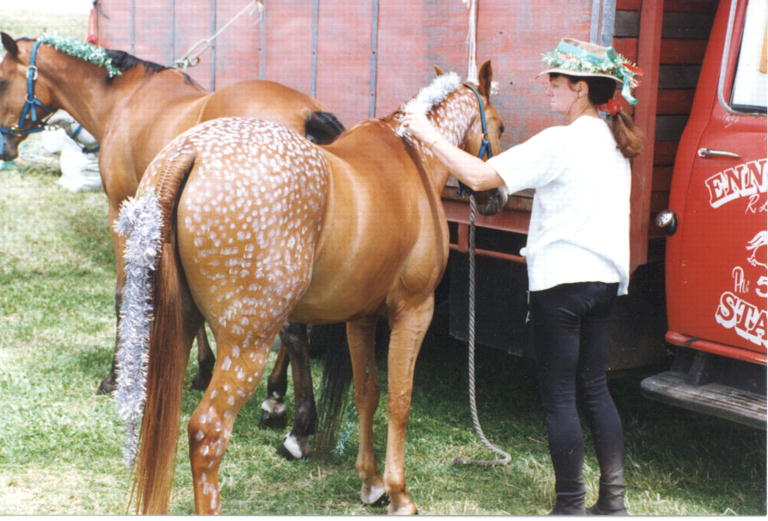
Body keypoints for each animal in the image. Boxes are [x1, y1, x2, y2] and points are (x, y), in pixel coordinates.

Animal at [0, 33, 343, 453]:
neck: (125, 98)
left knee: (292, 330)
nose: (3, 148)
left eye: (1, 81)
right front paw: (201, 369)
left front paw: (115, 376)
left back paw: (295, 423)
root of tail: (306, 114)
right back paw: (275, 398)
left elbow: (124, 295)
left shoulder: (122, 212)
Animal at [115, 59, 503, 514]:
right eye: (498, 126)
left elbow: (367, 393)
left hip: (174, 331)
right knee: (207, 434)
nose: (497, 195)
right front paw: (398, 493)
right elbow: (399, 400)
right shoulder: (414, 311)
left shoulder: (361, 318)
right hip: (247, 344)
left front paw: (371, 482)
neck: (413, 160)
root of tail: (190, 153)